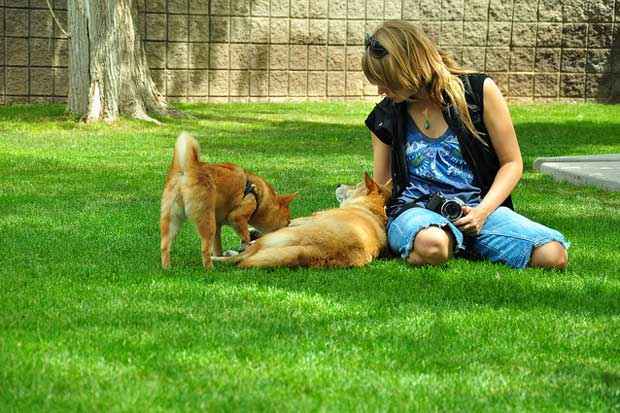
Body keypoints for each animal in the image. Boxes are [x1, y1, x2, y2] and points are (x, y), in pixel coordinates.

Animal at [159, 130, 296, 268]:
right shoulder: (236, 217)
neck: (260, 197)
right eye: (287, 220)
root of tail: (187, 170)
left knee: (164, 246)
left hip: (172, 220)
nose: (289, 225)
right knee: (204, 249)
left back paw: (167, 268)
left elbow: (218, 247)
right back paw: (209, 268)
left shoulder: (218, 226)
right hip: (207, 222)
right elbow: (245, 237)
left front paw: (220, 256)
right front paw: (244, 247)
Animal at [213, 173, 388, 268]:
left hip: (272, 239)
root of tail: (313, 251)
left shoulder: (304, 219)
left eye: (356, 185)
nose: (338, 184)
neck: (369, 208)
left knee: (241, 256)